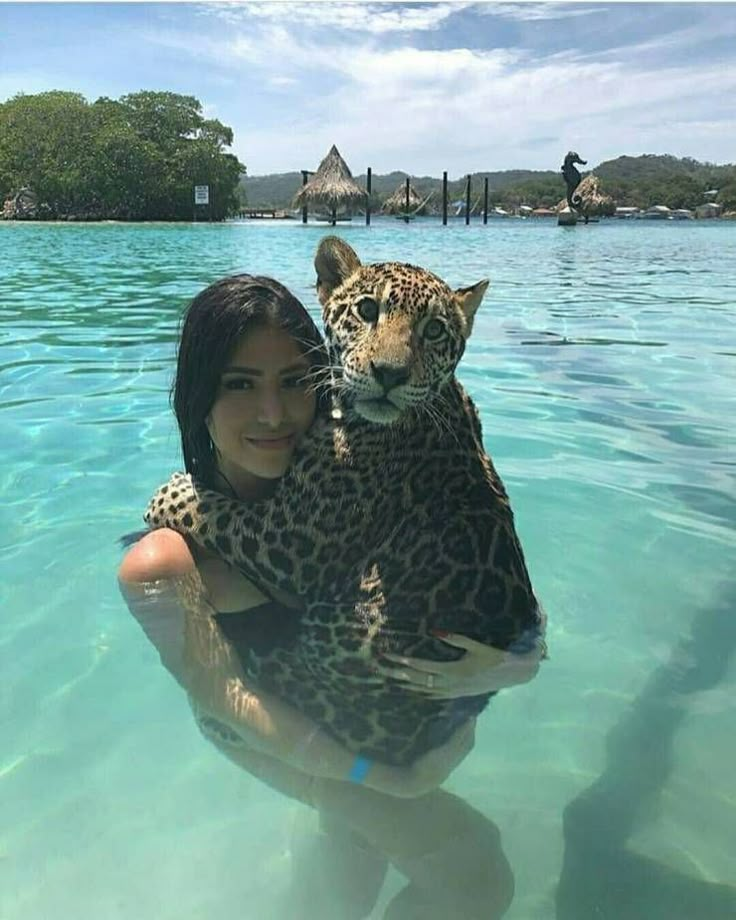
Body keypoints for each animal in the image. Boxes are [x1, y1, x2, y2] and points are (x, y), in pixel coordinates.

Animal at [145, 235, 548, 760]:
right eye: (367, 309)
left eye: (434, 330)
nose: (390, 374)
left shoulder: (293, 541)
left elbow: (212, 509)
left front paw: (169, 488)